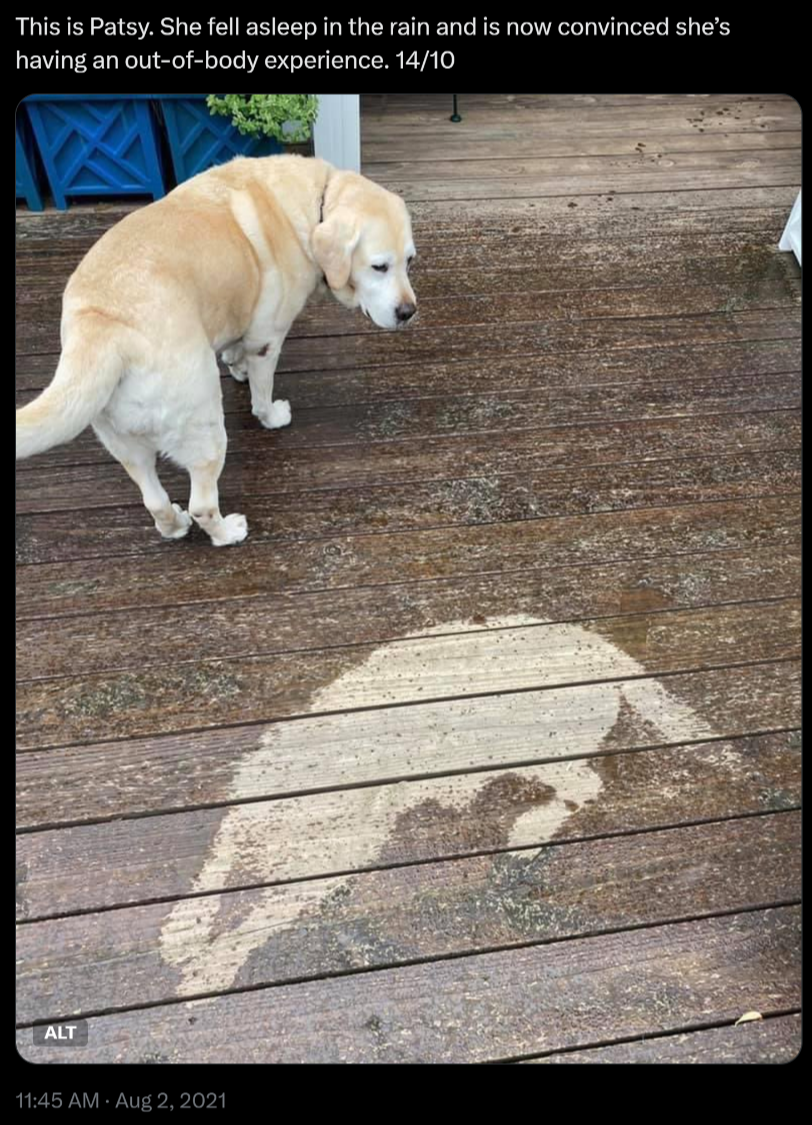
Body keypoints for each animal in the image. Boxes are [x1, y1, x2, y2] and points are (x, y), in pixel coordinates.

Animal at [15, 157, 413, 544]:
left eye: (410, 260)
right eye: (379, 266)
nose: (409, 312)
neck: (316, 201)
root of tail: (103, 325)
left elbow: (235, 348)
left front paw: (236, 366)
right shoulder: (267, 339)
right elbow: (261, 394)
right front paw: (271, 414)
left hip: (123, 442)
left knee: (154, 499)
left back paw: (173, 525)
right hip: (203, 423)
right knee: (203, 505)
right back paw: (228, 533)